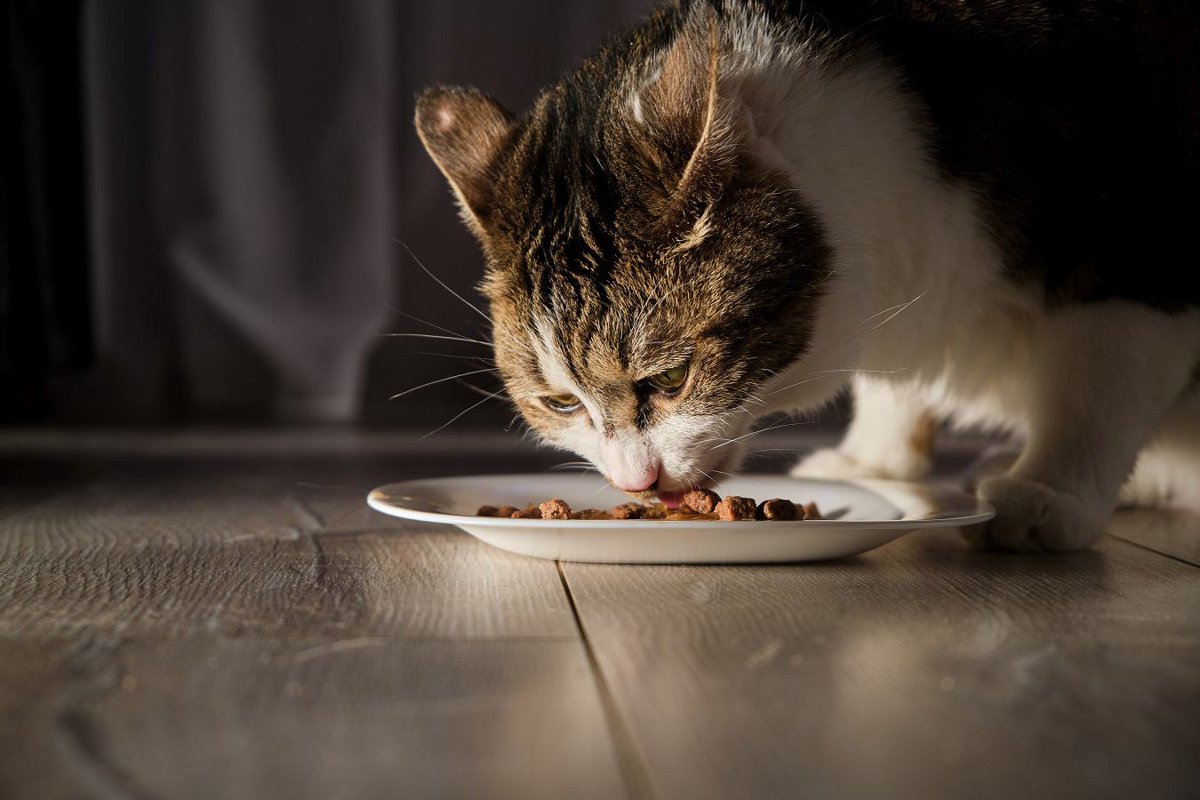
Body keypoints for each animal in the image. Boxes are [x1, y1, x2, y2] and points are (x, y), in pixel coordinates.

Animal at [415, 0, 1200, 551]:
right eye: (560, 403)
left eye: (671, 378)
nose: (636, 482)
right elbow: (897, 383)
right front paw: (875, 461)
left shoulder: (1141, 245)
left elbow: (1100, 378)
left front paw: (1049, 488)